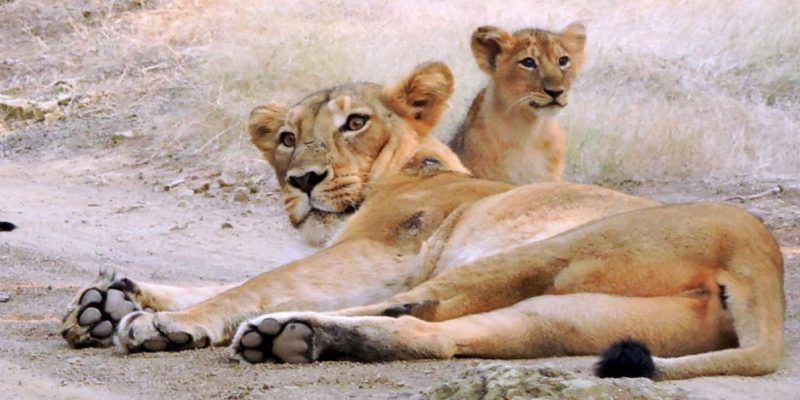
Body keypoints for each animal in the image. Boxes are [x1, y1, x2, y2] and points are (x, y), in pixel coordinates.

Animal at [59, 62, 784, 380]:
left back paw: (275, 329)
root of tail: (763, 256)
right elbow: (237, 279)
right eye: (288, 138)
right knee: (434, 333)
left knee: (417, 303)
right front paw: (107, 300)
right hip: (562, 316)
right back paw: (294, 337)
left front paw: (157, 320)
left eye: (355, 122)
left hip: (544, 251)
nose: (303, 181)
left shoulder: (379, 250)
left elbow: (256, 282)